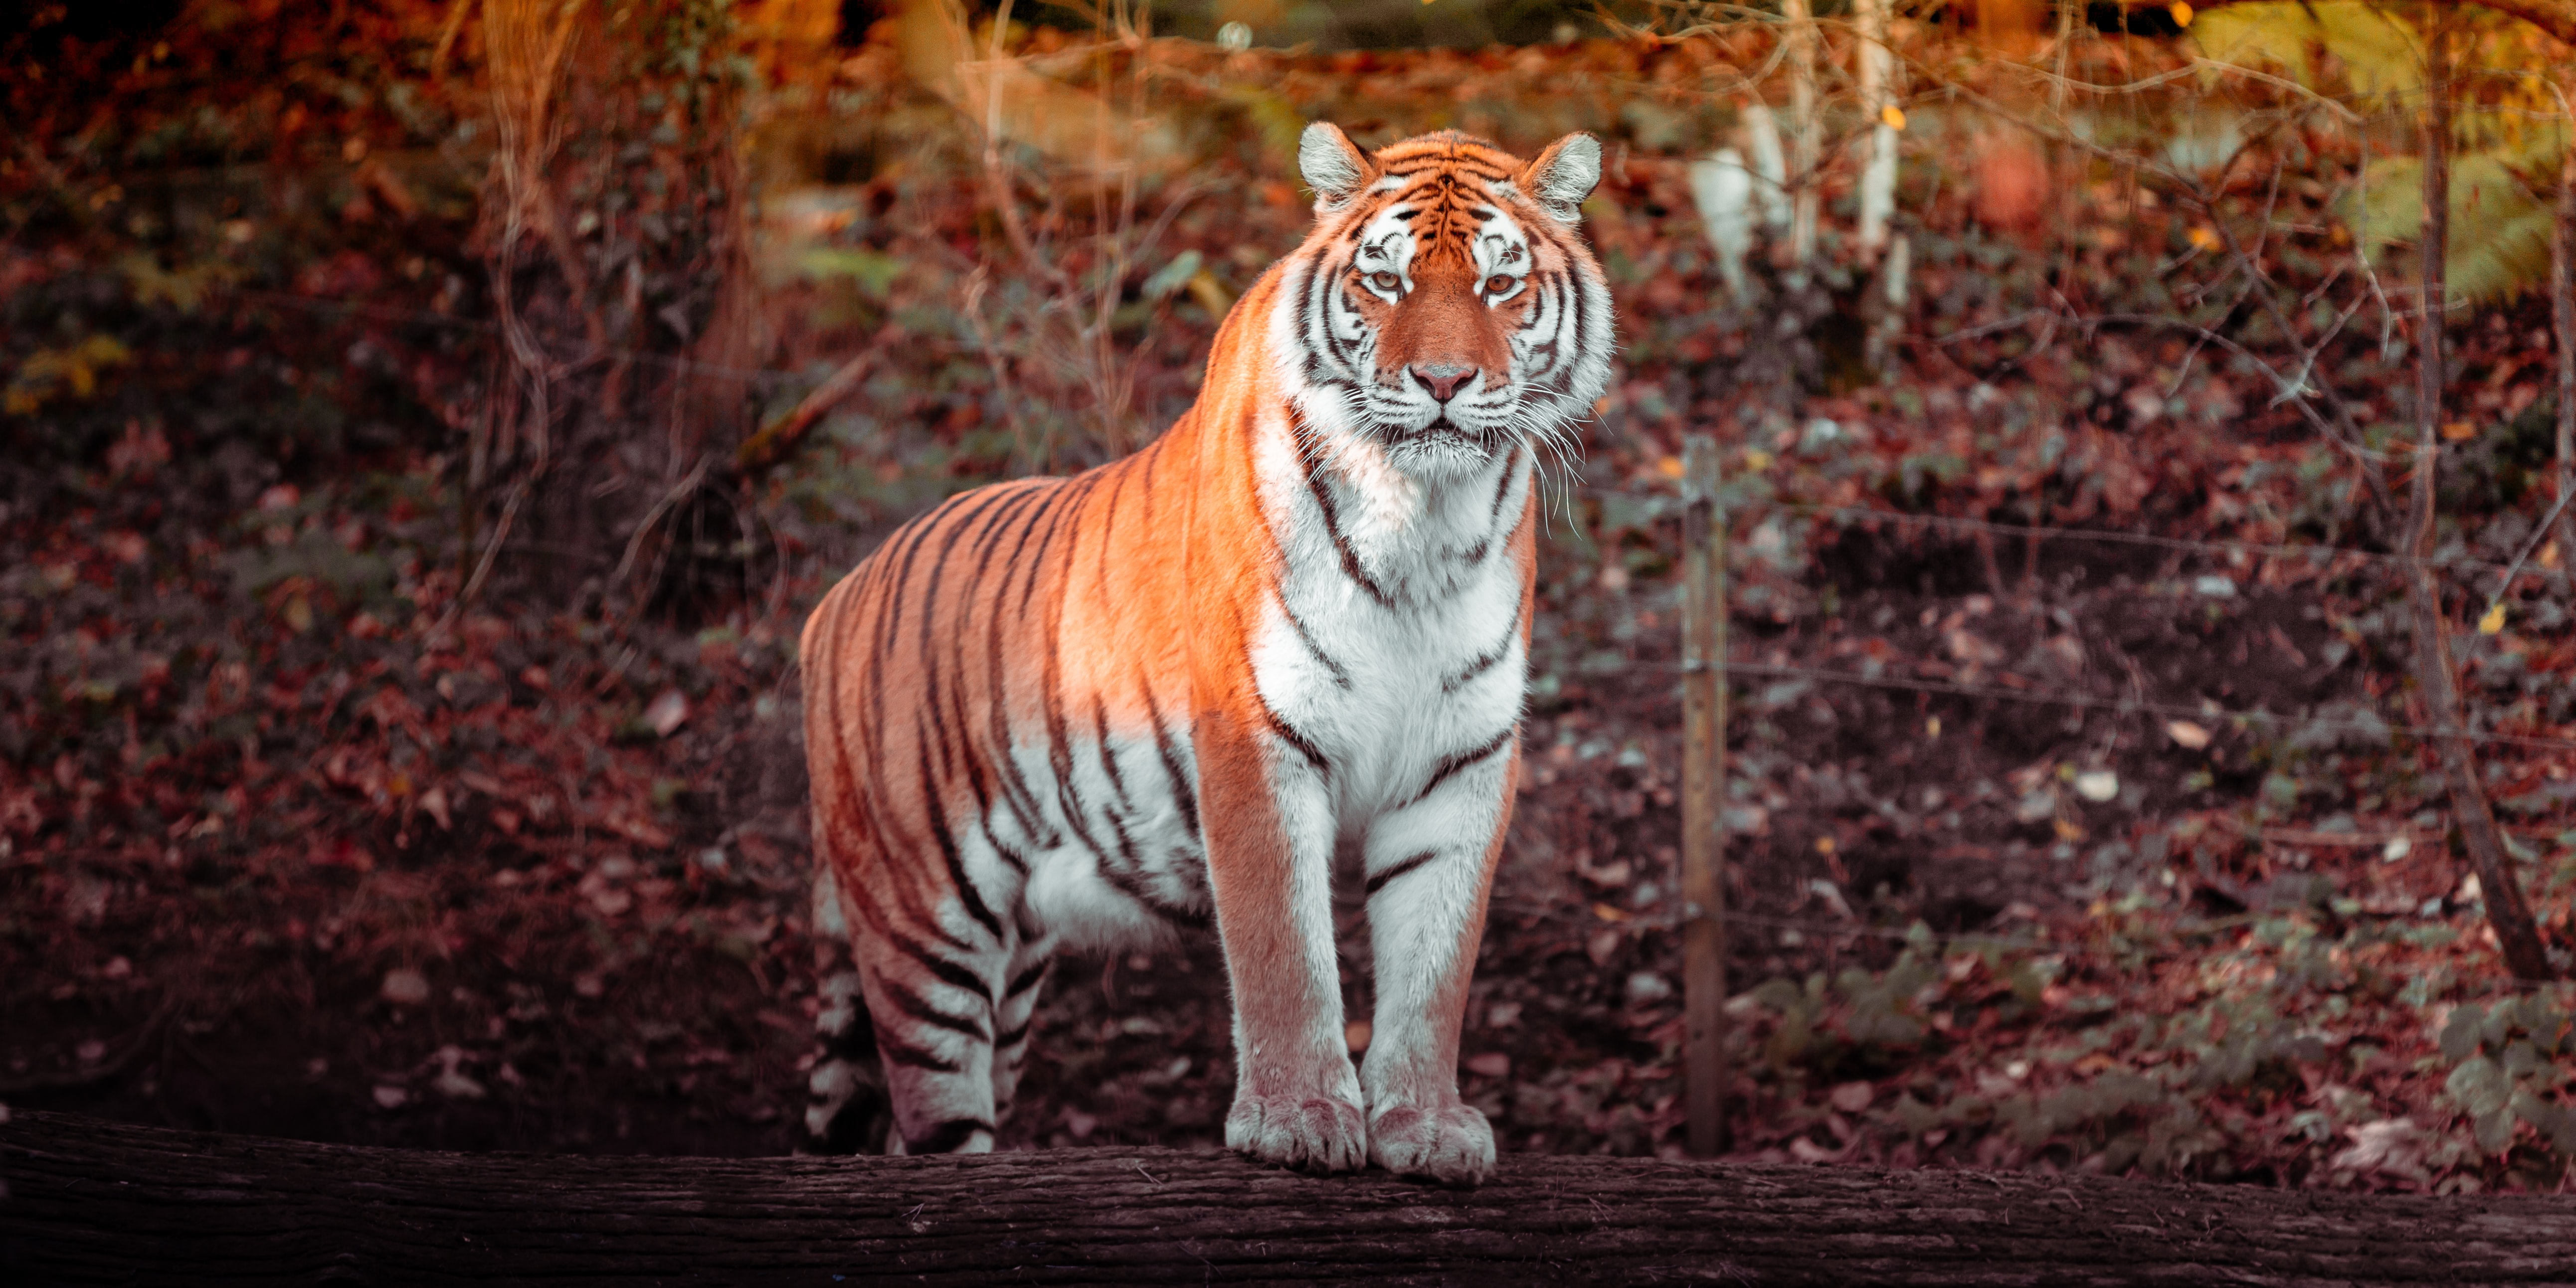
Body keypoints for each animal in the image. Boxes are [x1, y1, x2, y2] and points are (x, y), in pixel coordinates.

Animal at [797, 124, 1612, 1185]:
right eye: (1385, 281)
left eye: (1499, 283)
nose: (1442, 383)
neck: (1423, 524)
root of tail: (833, 599)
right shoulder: (1254, 735)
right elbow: (1284, 952)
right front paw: (1299, 1117)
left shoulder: (1462, 761)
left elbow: (1436, 964)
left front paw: (1426, 1125)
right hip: (922, 926)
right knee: (926, 1118)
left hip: (1012, 969)